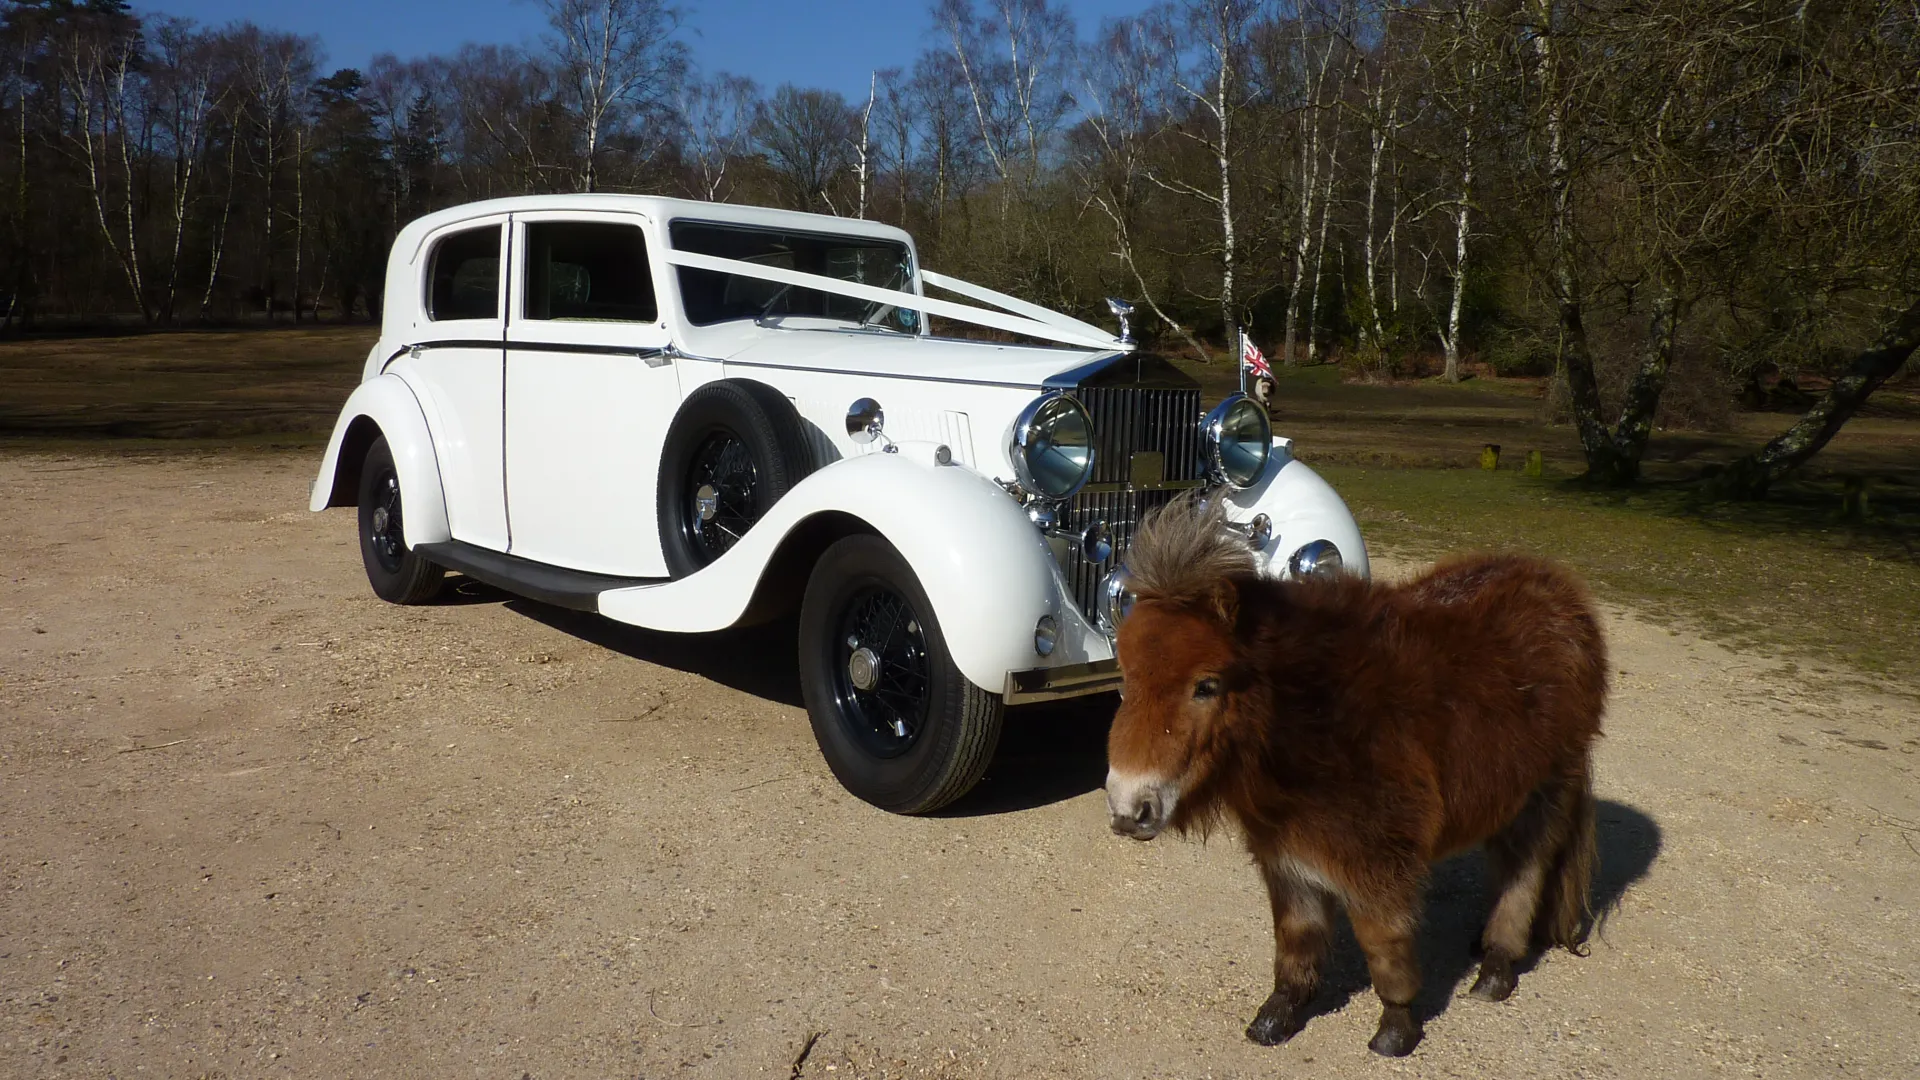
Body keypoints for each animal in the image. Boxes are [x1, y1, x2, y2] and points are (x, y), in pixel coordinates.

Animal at [1098, 495, 1605, 1053]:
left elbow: (1383, 944)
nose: (1128, 809)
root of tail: (1556, 586)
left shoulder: (1379, 861)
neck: (1309, 717)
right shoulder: (1287, 858)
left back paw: (1495, 968)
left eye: (1206, 686)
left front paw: (1395, 1030)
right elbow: (1296, 940)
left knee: (1524, 874)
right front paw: (1277, 1017)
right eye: (1126, 677)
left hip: (1545, 794)